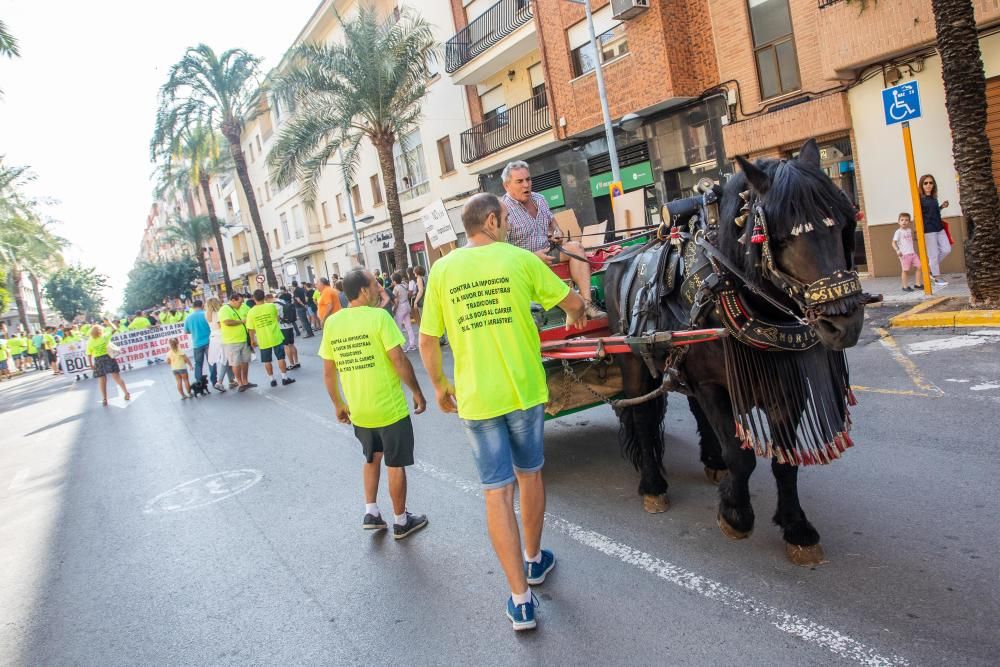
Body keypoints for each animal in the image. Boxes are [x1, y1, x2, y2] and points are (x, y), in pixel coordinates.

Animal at [600, 140, 868, 564]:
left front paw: (796, 527)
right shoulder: (713, 385)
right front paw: (735, 513)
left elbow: (785, 460)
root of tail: (618, 256)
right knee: (642, 416)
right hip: (633, 361)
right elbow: (741, 455)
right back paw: (653, 484)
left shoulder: (788, 386)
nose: (844, 324)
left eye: (843, 224)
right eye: (782, 237)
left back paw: (711, 461)